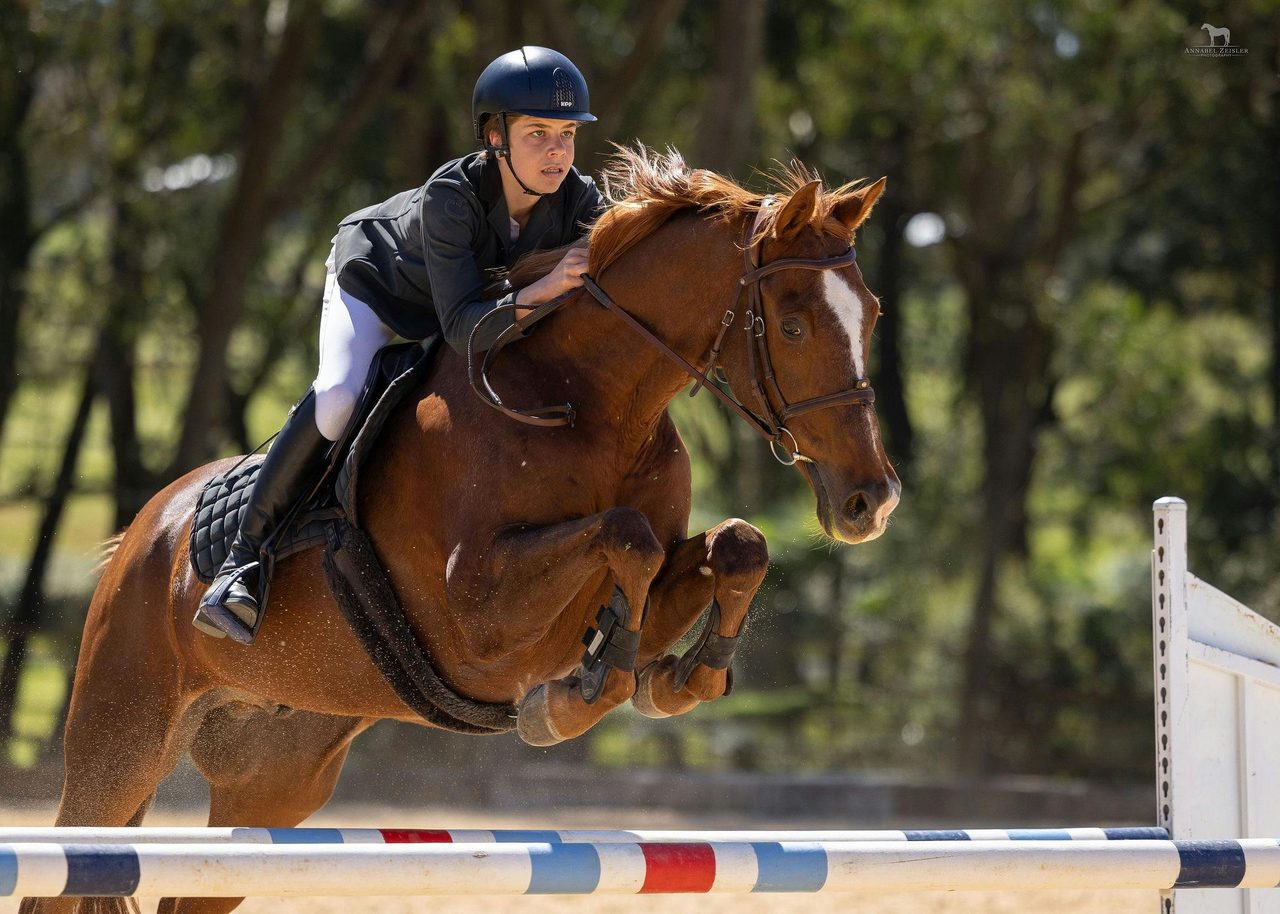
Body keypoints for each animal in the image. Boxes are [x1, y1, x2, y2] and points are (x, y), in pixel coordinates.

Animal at [22, 145, 900, 914]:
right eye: (793, 325)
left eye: (873, 314)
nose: (872, 500)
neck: (586, 400)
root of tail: (142, 534)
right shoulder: (477, 616)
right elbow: (628, 539)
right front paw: (582, 694)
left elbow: (734, 544)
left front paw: (682, 677)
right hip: (120, 745)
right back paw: (232, 592)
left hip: (274, 777)